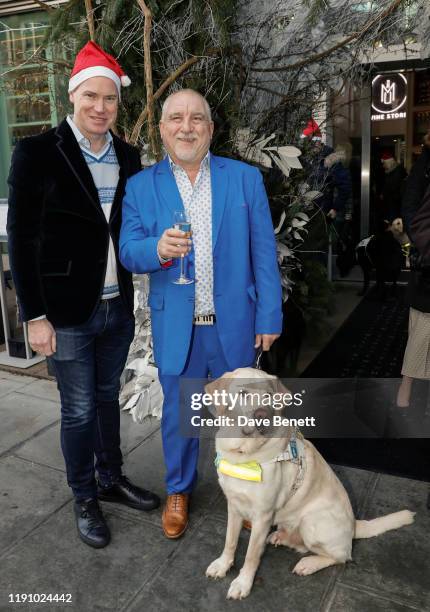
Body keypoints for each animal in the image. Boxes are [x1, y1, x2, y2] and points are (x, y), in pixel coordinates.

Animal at [207, 368, 414, 596]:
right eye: (242, 393)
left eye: (269, 396)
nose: (263, 416)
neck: (243, 453)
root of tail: (353, 524)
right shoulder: (234, 505)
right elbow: (230, 540)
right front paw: (223, 564)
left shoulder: (262, 516)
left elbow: (251, 555)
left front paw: (243, 583)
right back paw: (282, 537)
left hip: (311, 522)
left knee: (341, 556)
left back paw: (309, 564)